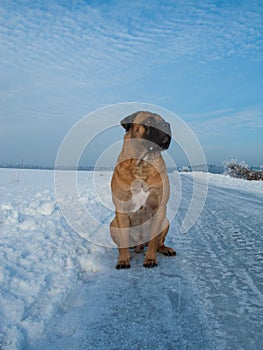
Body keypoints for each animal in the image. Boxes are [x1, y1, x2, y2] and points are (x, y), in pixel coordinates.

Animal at [110, 110, 176, 270]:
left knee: (159, 243)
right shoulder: (121, 208)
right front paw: (123, 260)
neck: (142, 163)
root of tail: (139, 245)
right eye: (149, 121)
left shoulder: (160, 208)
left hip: (165, 221)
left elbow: (153, 241)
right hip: (113, 224)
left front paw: (150, 259)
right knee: (122, 244)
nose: (167, 124)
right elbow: (123, 240)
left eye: (164, 121)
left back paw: (166, 249)